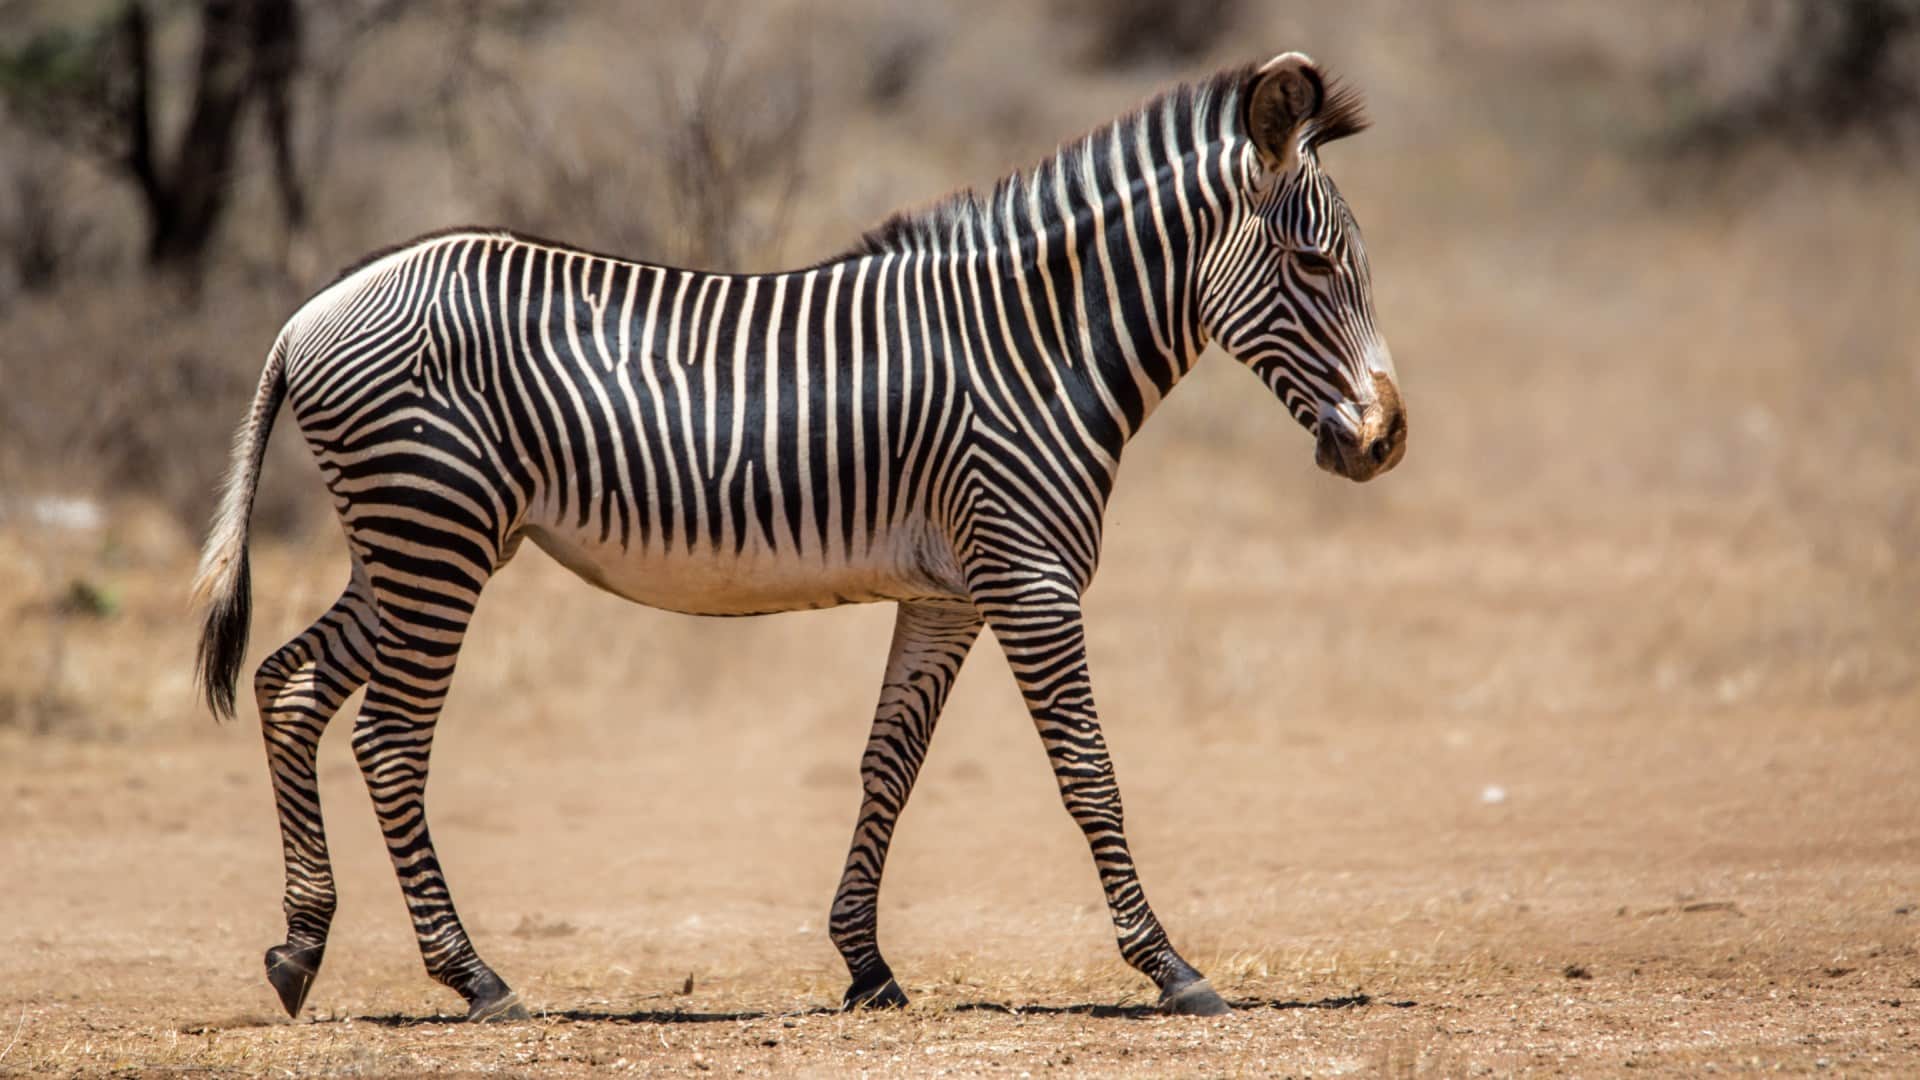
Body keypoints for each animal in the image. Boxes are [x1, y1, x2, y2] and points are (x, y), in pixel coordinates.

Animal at [192, 52, 1403, 1022]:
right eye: (1312, 265)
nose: (1387, 439)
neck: (1035, 350)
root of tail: (309, 313)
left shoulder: (947, 593)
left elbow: (888, 765)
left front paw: (865, 964)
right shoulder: (1030, 577)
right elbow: (1088, 773)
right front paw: (1170, 966)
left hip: (414, 544)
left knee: (290, 686)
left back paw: (299, 950)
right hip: (433, 533)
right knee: (390, 742)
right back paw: (474, 977)